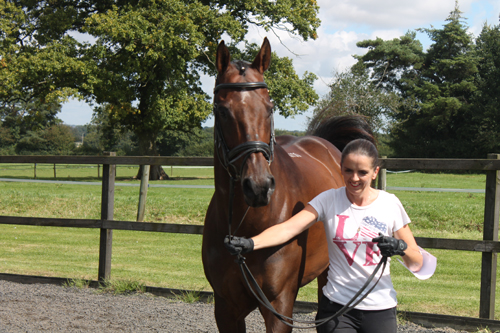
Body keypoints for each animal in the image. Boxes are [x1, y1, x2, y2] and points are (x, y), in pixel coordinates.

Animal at [202, 37, 372, 330]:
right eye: (222, 111)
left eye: (269, 108)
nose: (258, 187)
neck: (248, 227)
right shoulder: (225, 309)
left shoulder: (278, 307)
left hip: (329, 273)